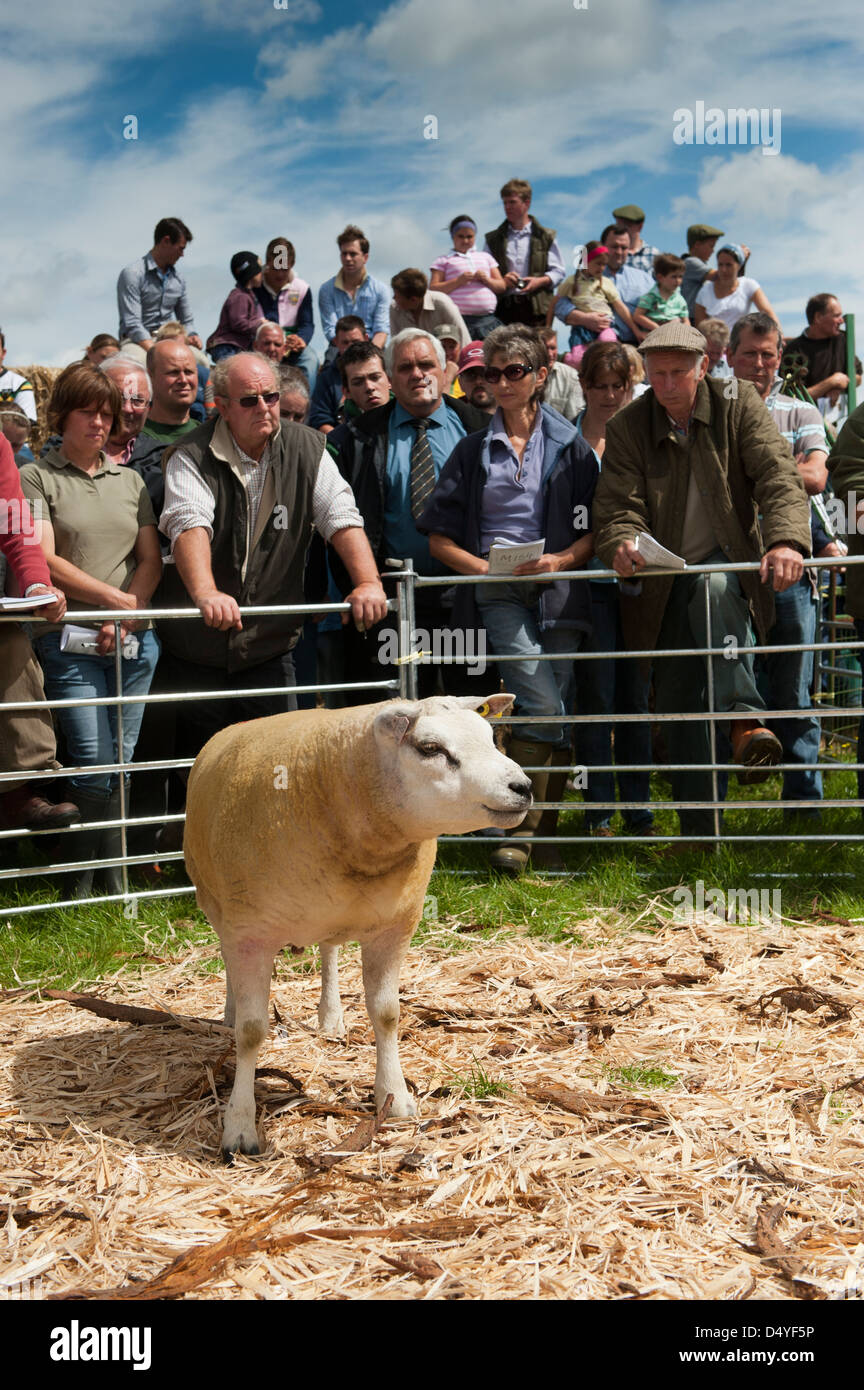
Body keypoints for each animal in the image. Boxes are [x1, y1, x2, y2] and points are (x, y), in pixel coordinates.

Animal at [183, 693, 532, 1159]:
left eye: (489, 737)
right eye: (430, 748)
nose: (522, 787)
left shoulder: (395, 926)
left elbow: (387, 1014)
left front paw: (394, 1098)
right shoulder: (249, 932)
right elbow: (252, 1032)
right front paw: (239, 1128)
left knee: (329, 950)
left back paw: (330, 1017)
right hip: (215, 902)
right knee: (227, 959)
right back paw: (231, 1009)